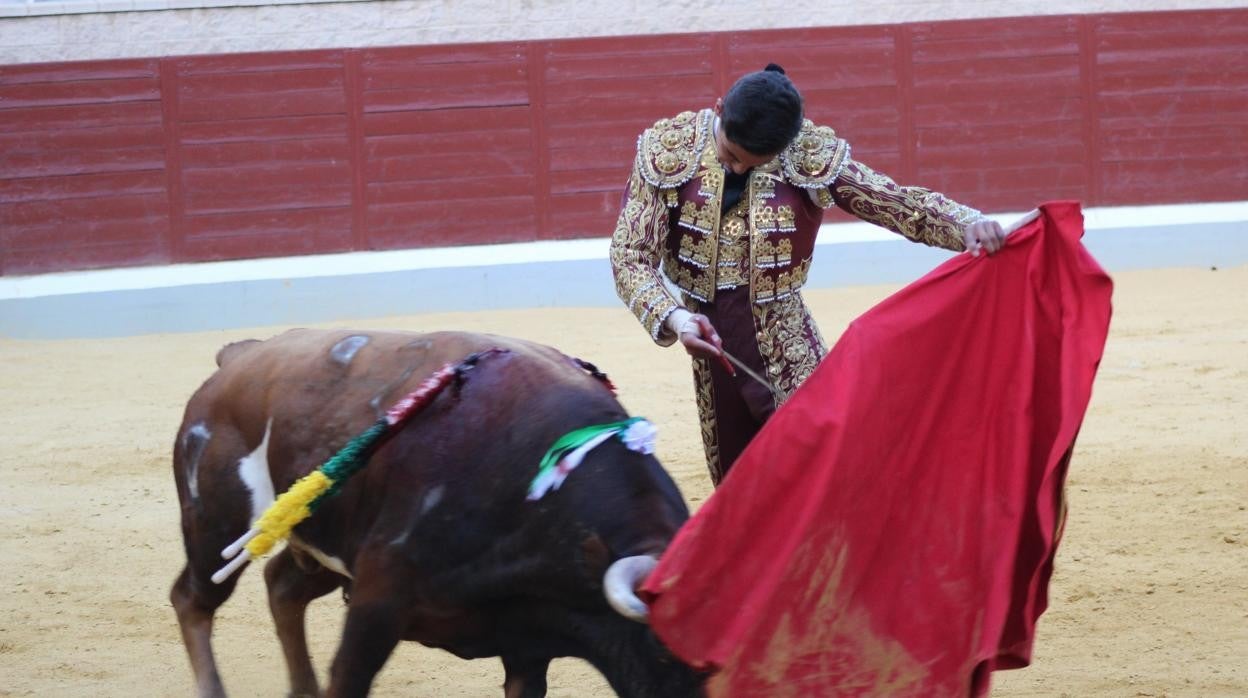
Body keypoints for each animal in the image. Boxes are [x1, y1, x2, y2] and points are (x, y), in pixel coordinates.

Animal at [170, 329, 708, 698]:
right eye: (663, 647)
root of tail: (240, 357)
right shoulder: (377, 605)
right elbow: (348, 677)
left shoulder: (527, 646)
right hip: (216, 527)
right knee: (192, 599)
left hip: (324, 543)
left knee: (282, 585)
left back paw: (303, 689)